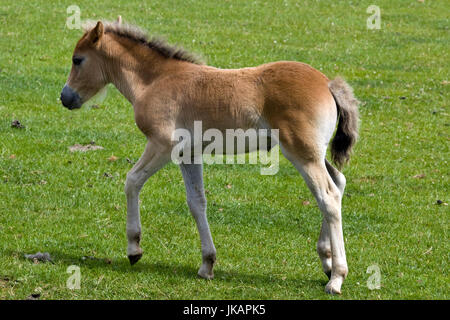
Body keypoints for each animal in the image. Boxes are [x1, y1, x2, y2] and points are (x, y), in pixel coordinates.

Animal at [61, 18, 360, 296]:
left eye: (78, 59)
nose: (65, 97)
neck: (154, 81)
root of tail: (328, 84)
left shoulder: (162, 146)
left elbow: (132, 181)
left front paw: (134, 248)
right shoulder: (188, 154)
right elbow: (197, 202)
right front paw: (207, 263)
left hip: (302, 153)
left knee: (327, 196)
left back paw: (336, 277)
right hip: (314, 153)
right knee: (339, 182)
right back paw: (326, 260)